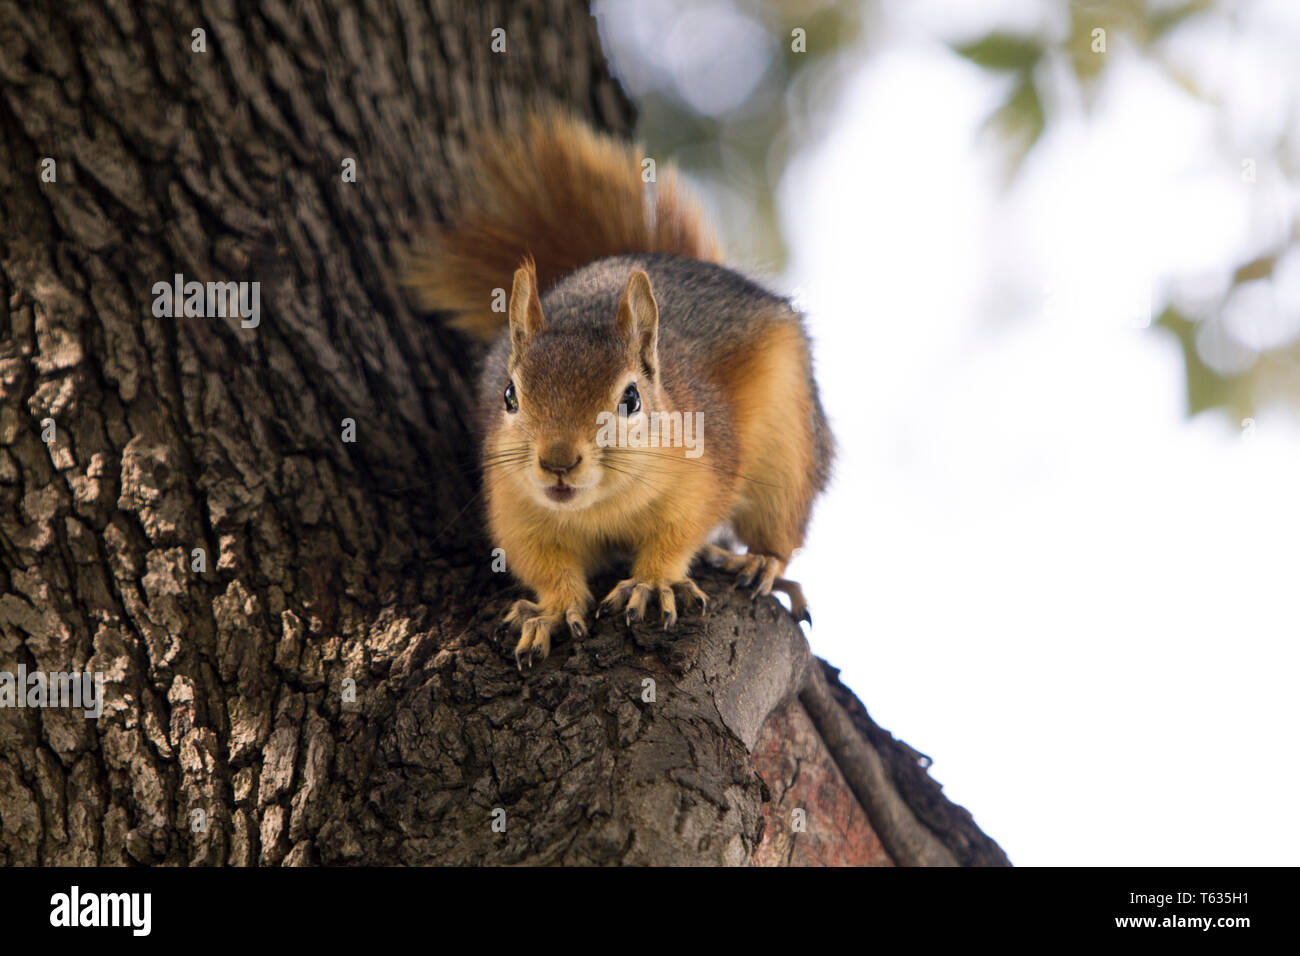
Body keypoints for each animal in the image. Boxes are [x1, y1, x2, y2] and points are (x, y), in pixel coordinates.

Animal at [406, 111, 834, 668]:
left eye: (631, 399)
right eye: (508, 396)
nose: (558, 462)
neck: (598, 507)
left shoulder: (704, 472)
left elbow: (679, 533)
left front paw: (653, 583)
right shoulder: (515, 507)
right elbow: (541, 563)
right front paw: (551, 610)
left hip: (789, 442)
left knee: (781, 523)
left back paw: (762, 563)